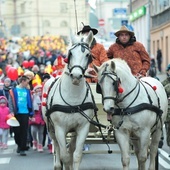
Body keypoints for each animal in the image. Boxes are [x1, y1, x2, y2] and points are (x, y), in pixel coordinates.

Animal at [42, 30, 95, 170]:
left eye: (88, 55)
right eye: (70, 53)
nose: (76, 76)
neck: (73, 100)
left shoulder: (83, 127)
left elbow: (76, 155)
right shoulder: (60, 128)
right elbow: (64, 156)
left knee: (71, 149)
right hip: (51, 128)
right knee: (57, 148)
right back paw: (57, 164)